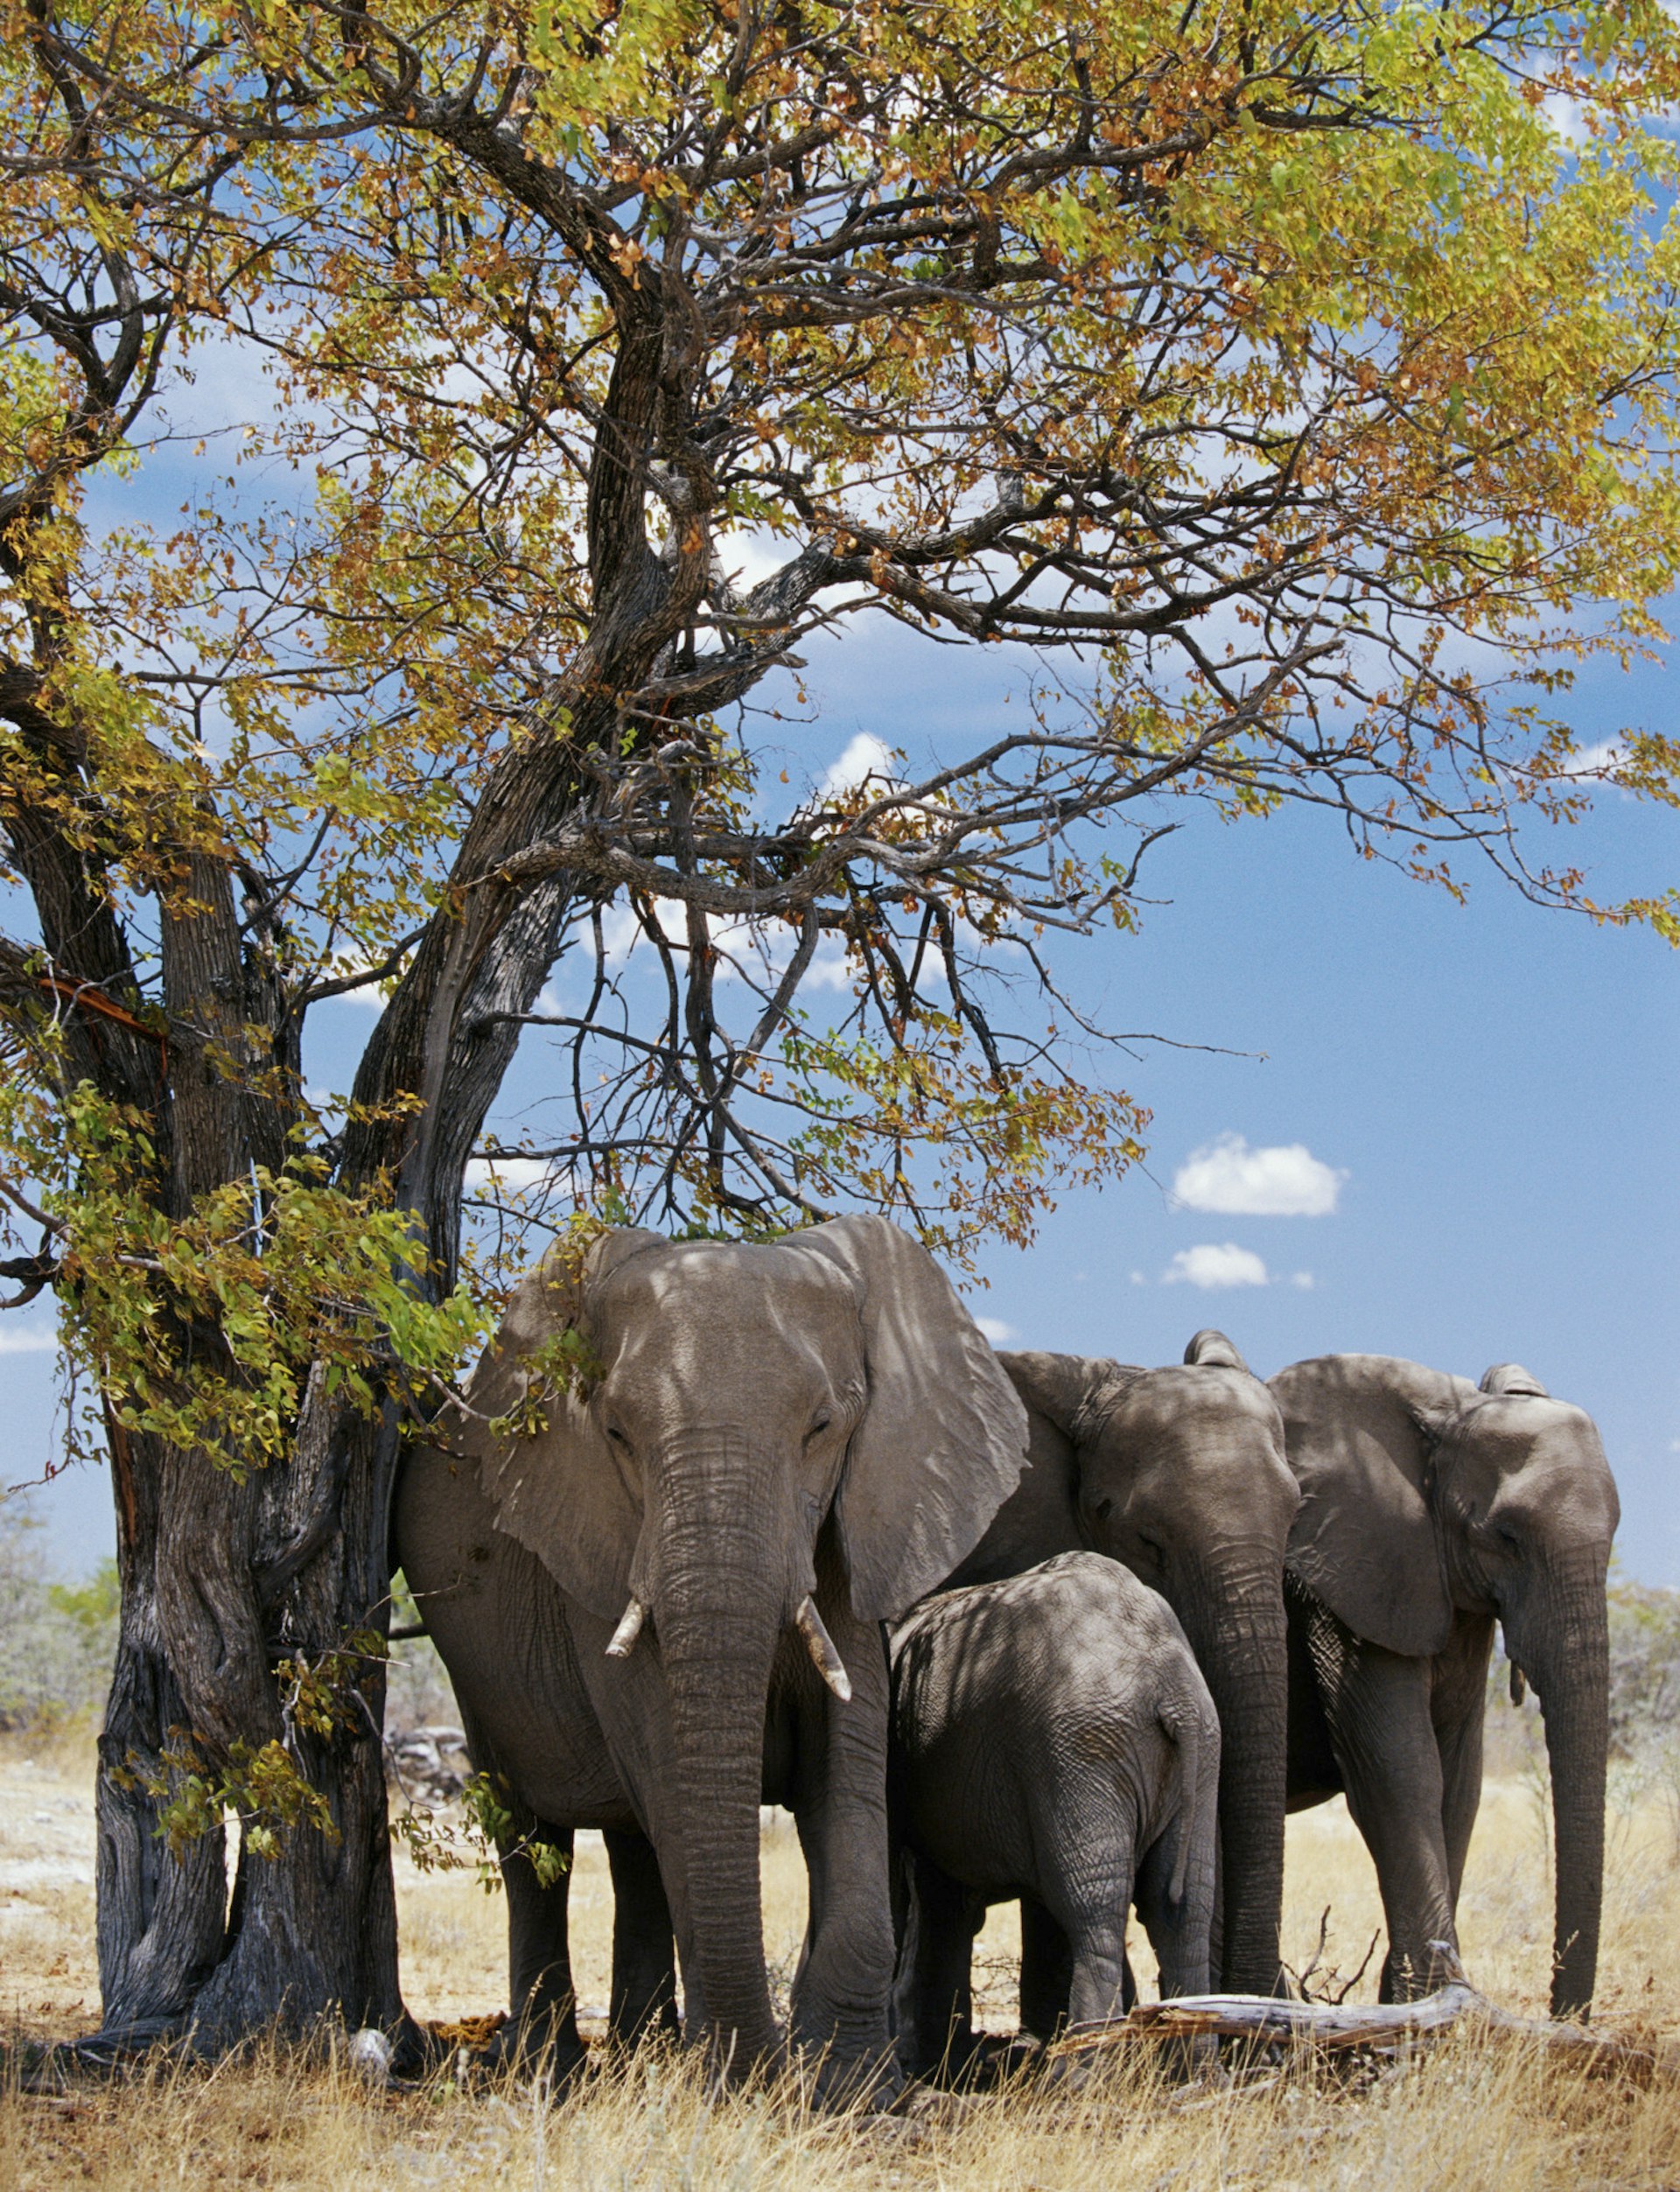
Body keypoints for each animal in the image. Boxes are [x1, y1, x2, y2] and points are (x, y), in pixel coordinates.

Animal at [396, 1218, 1035, 2086]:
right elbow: (668, 1765)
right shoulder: (596, 1542)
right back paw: (554, 2070)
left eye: (822, 1427)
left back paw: (644, 2053)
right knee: (535, 1844)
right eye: (615, 1433)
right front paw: (738, 2080)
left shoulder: (852, 1528)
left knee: (631, 1848)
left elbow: (850, 1759)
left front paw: (854, 2088)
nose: (761, 2068)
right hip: (473, 1663)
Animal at [894, 1551, 1228, 2077]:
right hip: (1193, 1753)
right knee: (1183, 1907)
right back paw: (1196, 2073)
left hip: (1080, 1747)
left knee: (1094, 1907)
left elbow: (940, 1899)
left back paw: (1080, 2075)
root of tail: (1171, 1691)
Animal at [1280, 1350, 1622, 2016]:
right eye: (1505, 1537)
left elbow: (1460, 1781)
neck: (1448, 1412)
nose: (1562, 2016)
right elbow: (1399, 1770)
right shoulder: (1346, 1585)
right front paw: (1437, 2004)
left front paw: (1408, 2004)